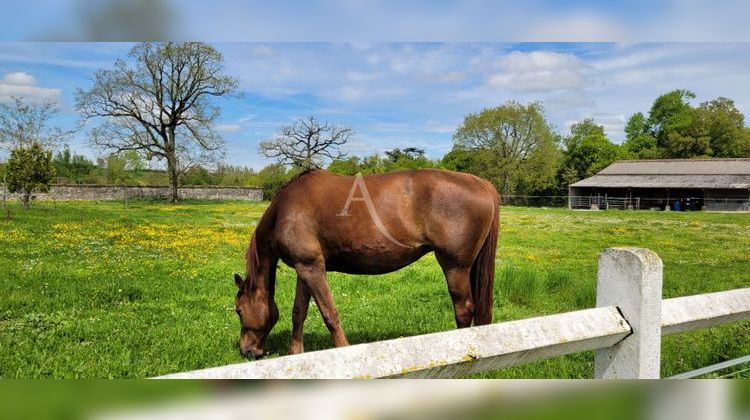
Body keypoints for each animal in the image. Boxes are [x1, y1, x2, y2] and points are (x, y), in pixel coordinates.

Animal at [234, 168, 500, 358]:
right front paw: (295, 354)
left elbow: (330, 314)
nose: (247, 351)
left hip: (455, 267)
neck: (285, 211)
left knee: (463, 309)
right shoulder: (305, 269)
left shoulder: (312, 268)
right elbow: (299, 312)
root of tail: (481, 184)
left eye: (238, 310)